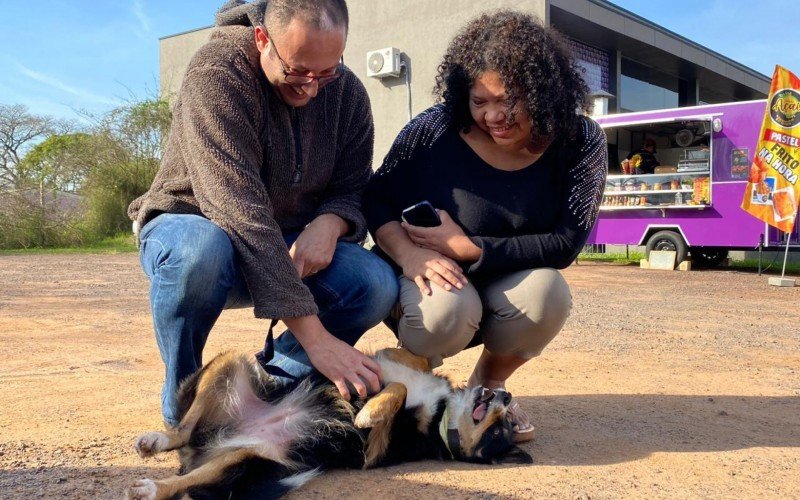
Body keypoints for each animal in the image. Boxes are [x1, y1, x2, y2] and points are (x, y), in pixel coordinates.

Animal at [128, 348, 536, 500]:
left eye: (499, 432)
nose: (506, 397)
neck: (441, 415)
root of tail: (211, 441)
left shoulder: (378, 444)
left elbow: (398, 391)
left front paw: (368, 411)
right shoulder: (386, 361)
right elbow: (410, 364)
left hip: (244, 459)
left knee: (186, 478)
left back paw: (152, 488)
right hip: (232, 363)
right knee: (183, 431)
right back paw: (156, 441)